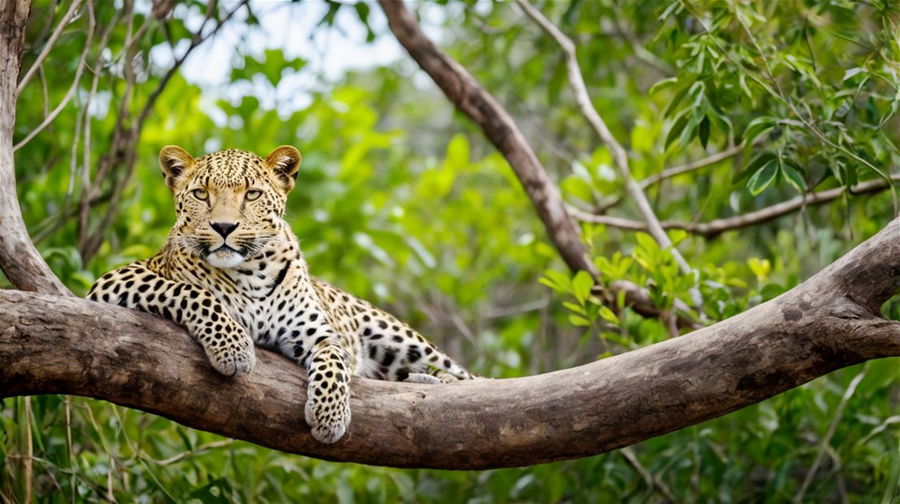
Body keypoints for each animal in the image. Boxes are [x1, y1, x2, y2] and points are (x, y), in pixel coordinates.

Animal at [88, 145, 474, 440]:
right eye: (201, 194)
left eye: (252, 194)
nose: (224, 227)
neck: (251, 273)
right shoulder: (114, 280)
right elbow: (191, 292)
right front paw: (234, 348)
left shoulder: (320, 334)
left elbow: (334, 362)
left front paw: (329, 416)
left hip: (399, 337)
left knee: (468, 378)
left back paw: (435, 381)